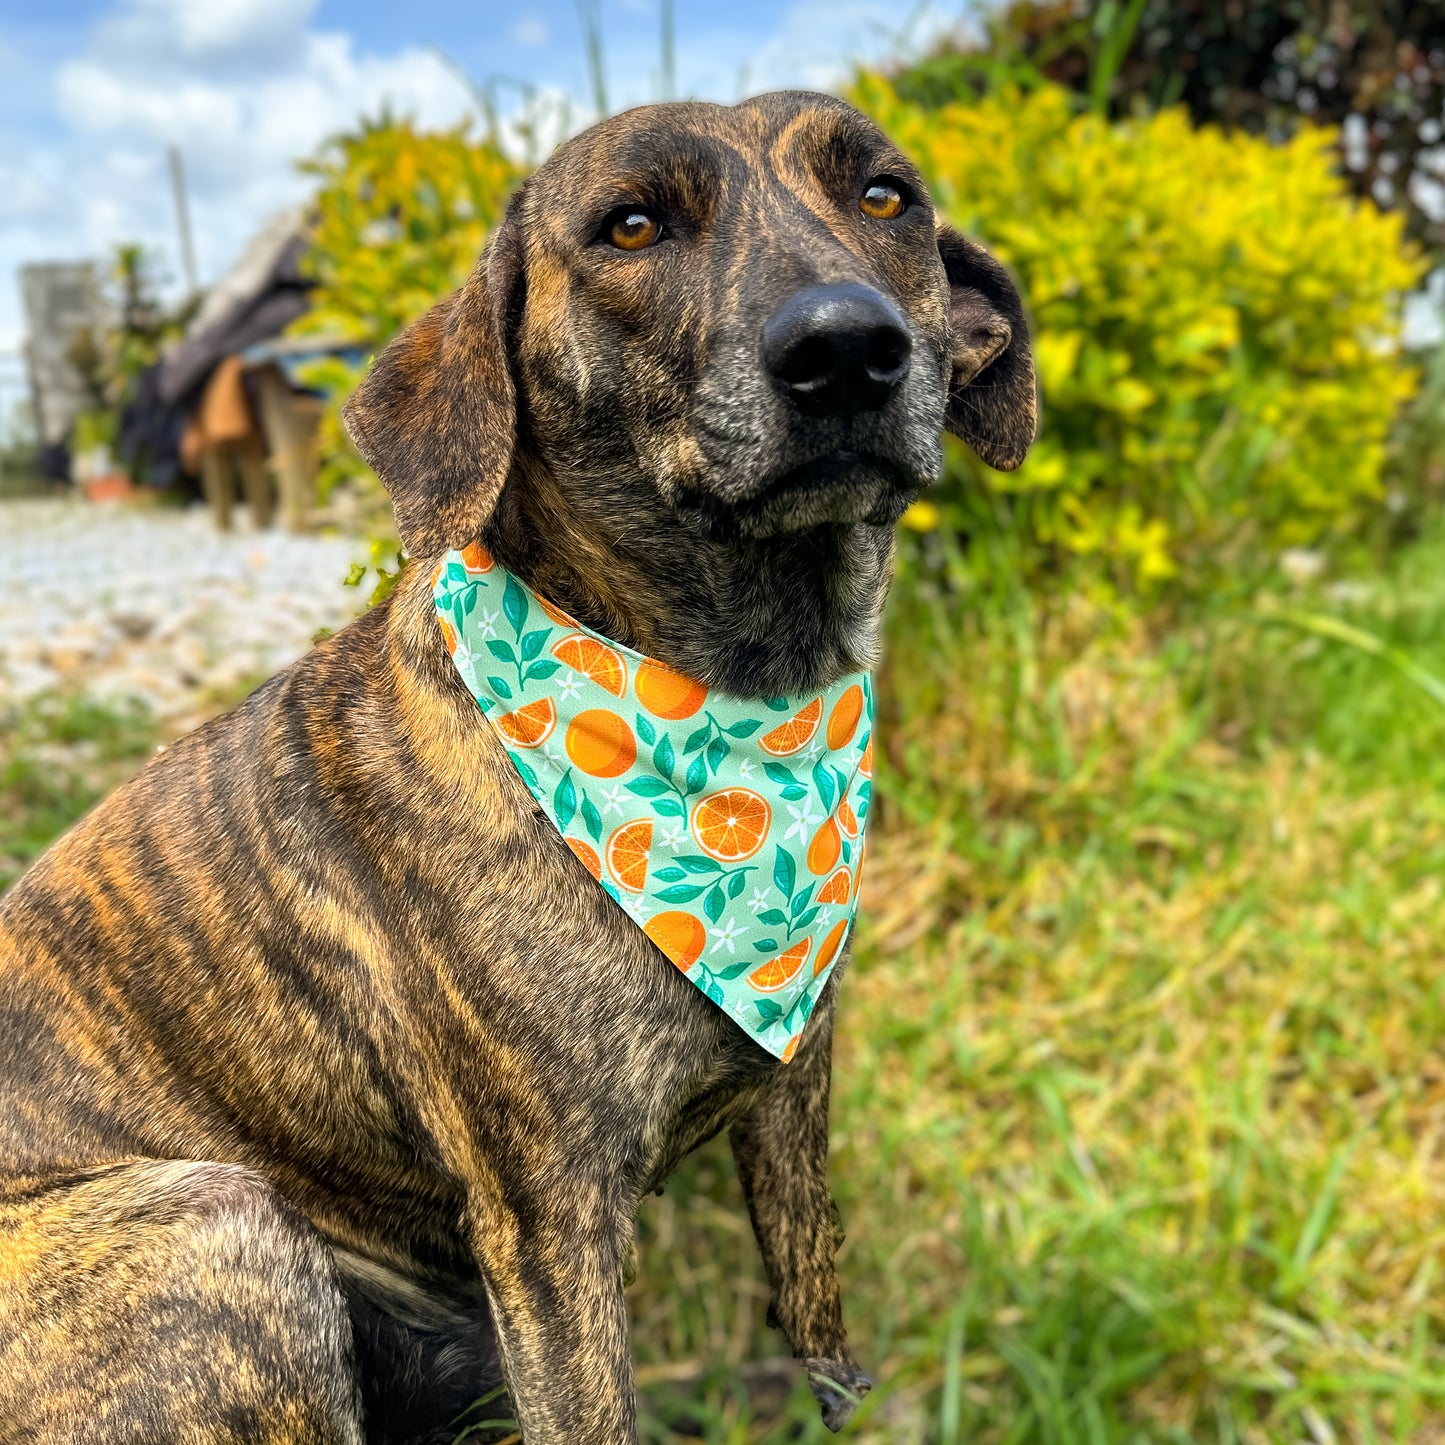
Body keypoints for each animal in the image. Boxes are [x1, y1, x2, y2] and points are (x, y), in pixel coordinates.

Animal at [2, 93, 1040, 1445]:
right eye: (630, 225)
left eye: (884, 197)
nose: (846, 348)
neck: (726, 695)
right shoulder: (549, 1221)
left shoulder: (787, 1090)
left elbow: (818, 1315)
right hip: (216, 1227)